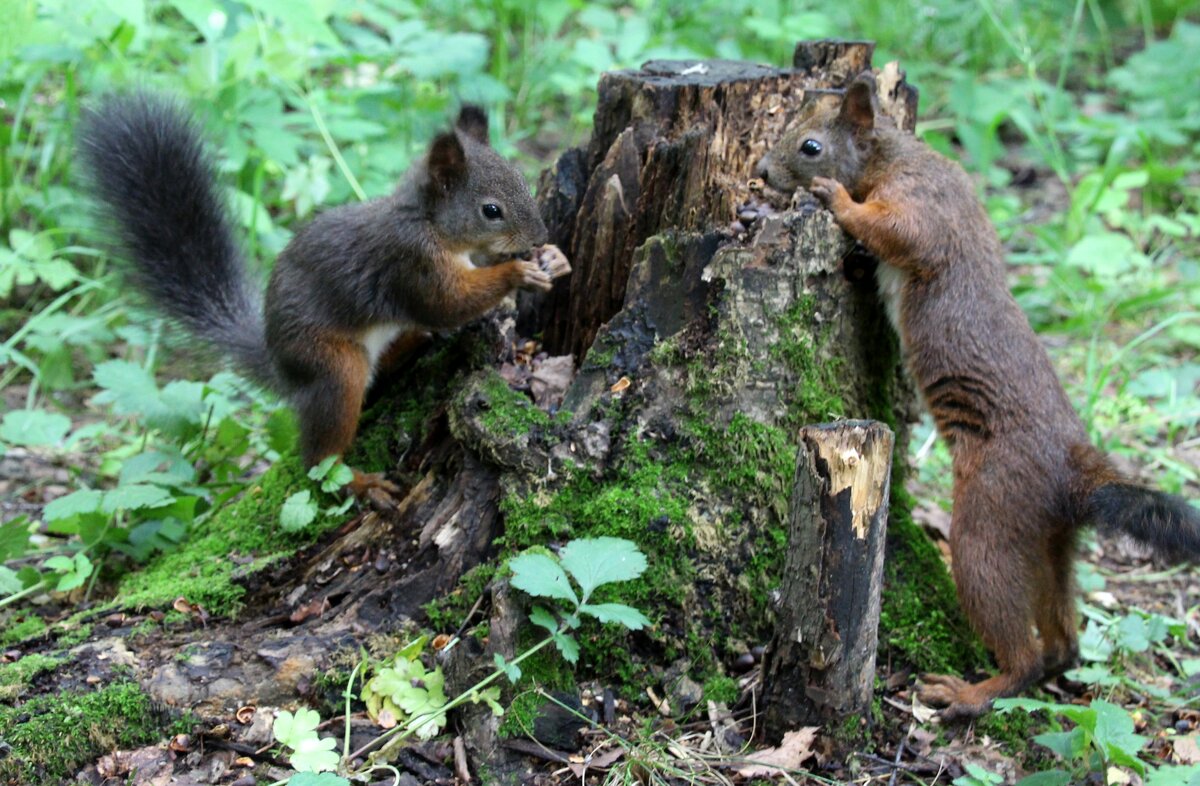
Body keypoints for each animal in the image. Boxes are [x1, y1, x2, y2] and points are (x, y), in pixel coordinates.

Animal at [79, 95, 566, 504]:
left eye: (523, 180)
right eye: (491, 210)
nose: (539, 235)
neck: (428, 222)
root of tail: (279, 363)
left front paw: (553, 259)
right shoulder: (411, 265)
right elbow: (448, 303)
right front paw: (516, 274)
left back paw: (418, 341)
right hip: (331, 366)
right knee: (317, 459)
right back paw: (360, 483)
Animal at [758, 72, 1200, 720]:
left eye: (810, 146)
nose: (762, 171)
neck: (894, 155)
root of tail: (1076, 476)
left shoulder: (924, 206)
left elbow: (897, 231)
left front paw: (835, 200)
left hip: (990, 520)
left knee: (1023, 649)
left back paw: (972, 692)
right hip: (1053, 544)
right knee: (1063, 642)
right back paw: (1047, 662)